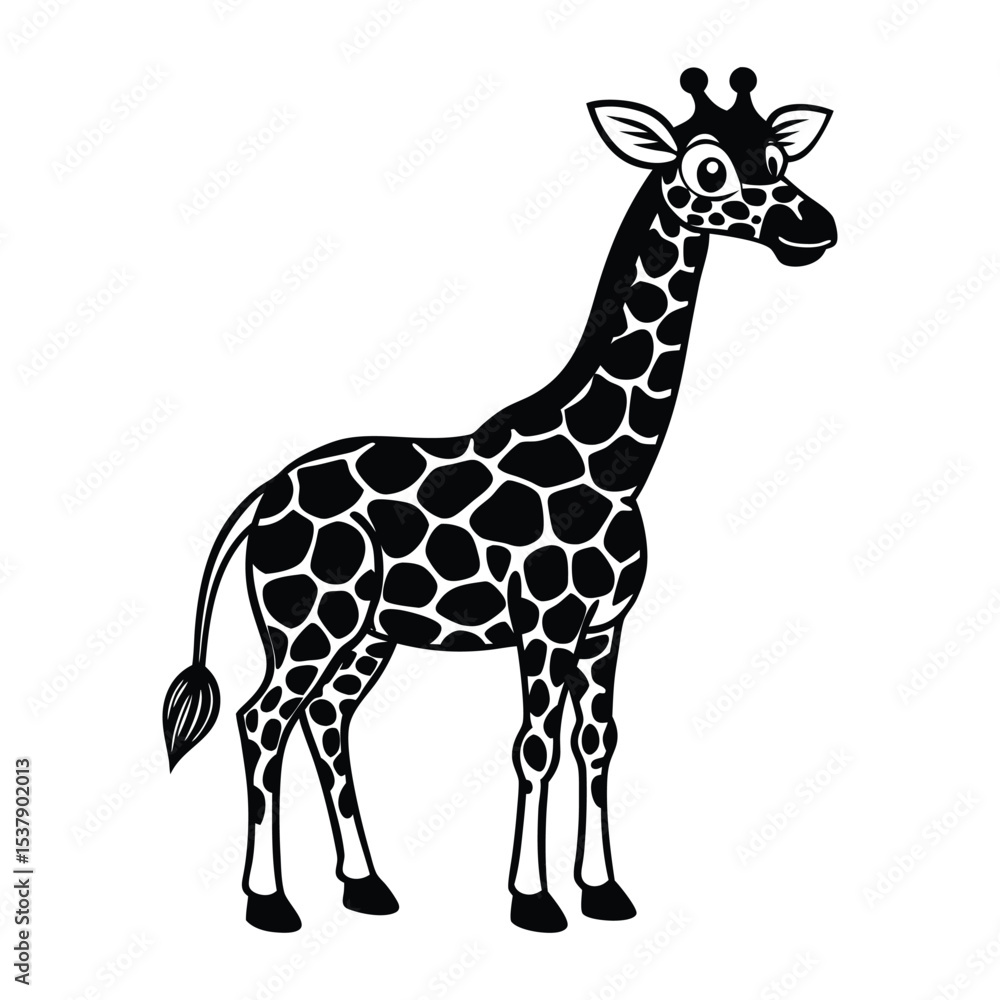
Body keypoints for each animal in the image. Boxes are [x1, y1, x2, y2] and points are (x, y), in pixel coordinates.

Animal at [162, 68, 836, 934]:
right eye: (710, 168)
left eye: (781, 156)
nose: (814, 228)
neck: (614, 463)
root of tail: (263, 496)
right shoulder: (545, 620)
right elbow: (534, 745)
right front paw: (534, 900)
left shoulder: (604, 626)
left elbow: (597, 741)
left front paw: (605, 892)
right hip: (310, 622)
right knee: (262, 719)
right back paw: (270, 902)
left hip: (369, 634)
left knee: (327, 718)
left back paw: (366, 885)